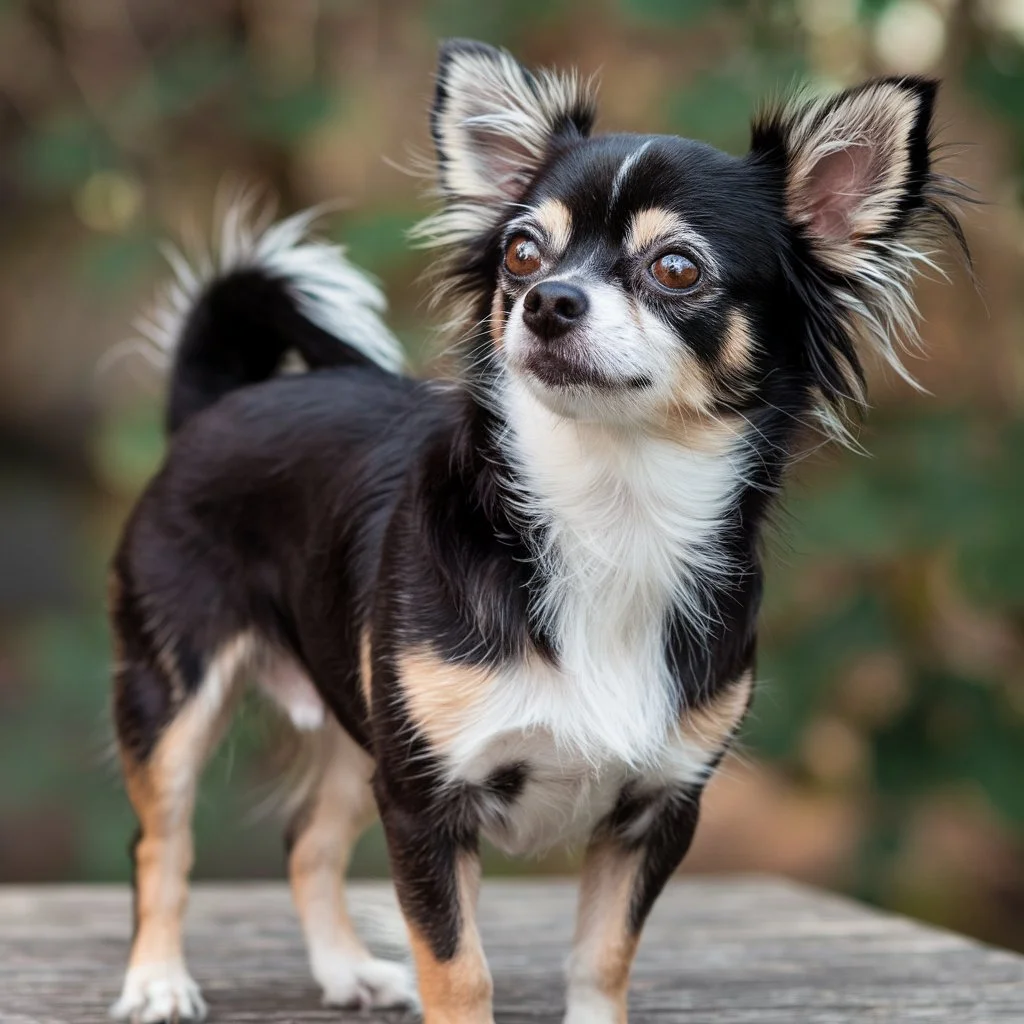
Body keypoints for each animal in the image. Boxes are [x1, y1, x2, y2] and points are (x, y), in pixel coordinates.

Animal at [110, 37, 966, 1024]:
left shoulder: (655, 810)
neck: (608, 510)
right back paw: (157, 980)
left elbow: (602, 957)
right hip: (176, 697)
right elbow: (459, 966)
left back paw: (346, 969)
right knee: (161, 843)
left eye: (677, 268)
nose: (549, 300)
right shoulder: (426, 800)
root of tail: (217, 406)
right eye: (522, 252)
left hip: (357, 726)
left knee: (306, 840)